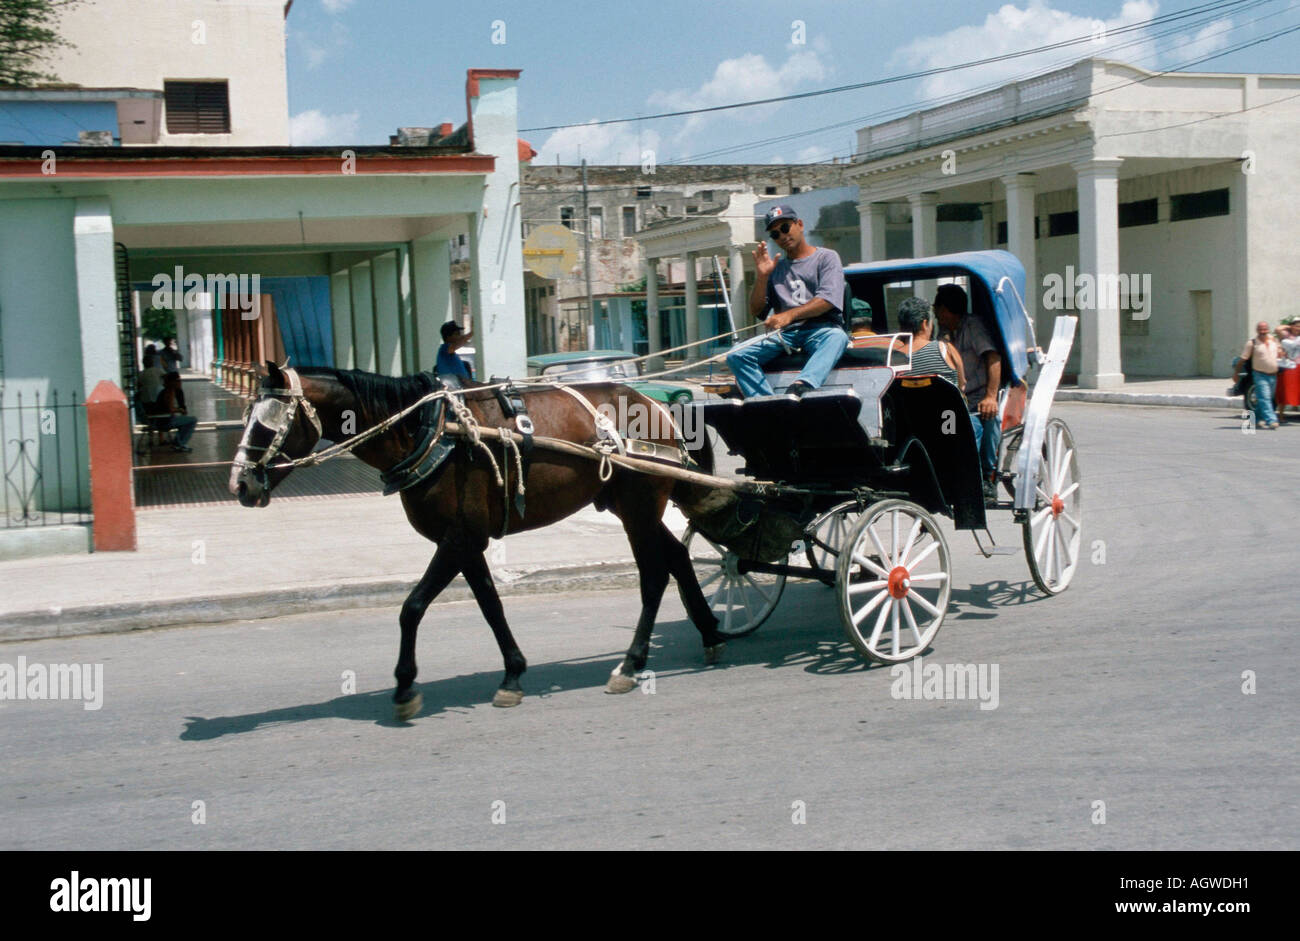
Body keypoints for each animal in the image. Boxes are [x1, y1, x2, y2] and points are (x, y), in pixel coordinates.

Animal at [228, 361, 728, 722]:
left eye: (266, 425)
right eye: (246, 418)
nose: (240, 486)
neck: (430, 429)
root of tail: (656, 404)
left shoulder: (459, 537)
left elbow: (412, 607)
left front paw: (405, 687)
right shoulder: (467, 542)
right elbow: (490, 605)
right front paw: (512, 674)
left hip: (640, 506)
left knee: (654, 576)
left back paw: (631, 663)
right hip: (628, 504)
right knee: (678, 557)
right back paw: (710, 633)